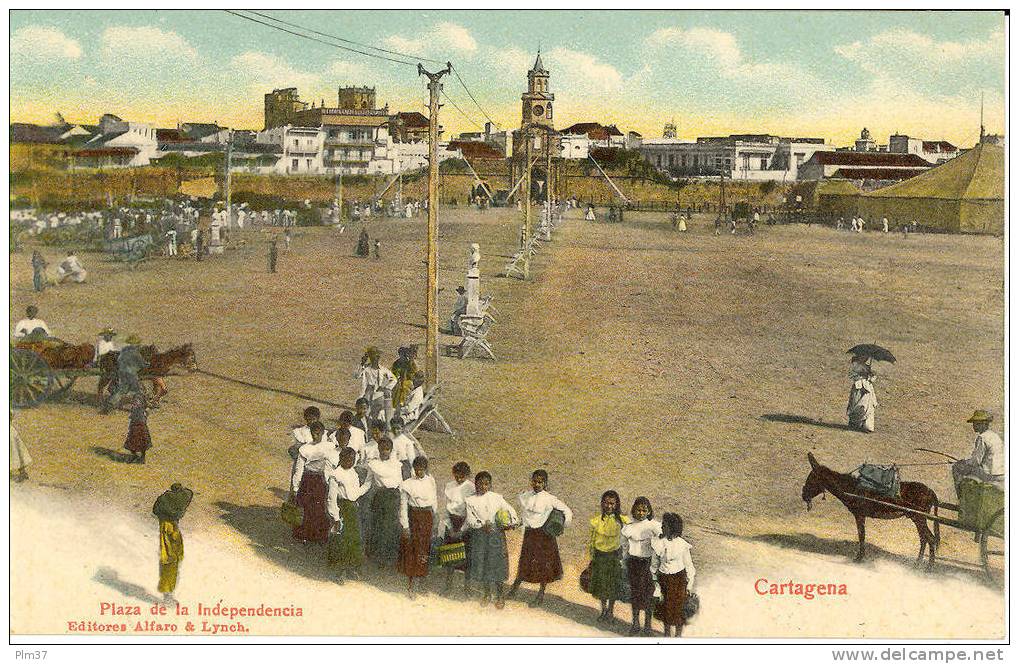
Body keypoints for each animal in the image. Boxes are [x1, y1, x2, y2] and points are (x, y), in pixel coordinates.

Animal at [798, 454, 941, 566]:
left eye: (811, 479)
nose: (803, 495)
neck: (851, 487)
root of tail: (931, 491)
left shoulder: (859, 515)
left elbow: (862, 535)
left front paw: (859, 558)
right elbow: (862, 535)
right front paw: (860, 556)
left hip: (919, 518)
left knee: (931, 538)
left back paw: (929, 567)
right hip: (917, 518)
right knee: (924, 538)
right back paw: (918, 563)